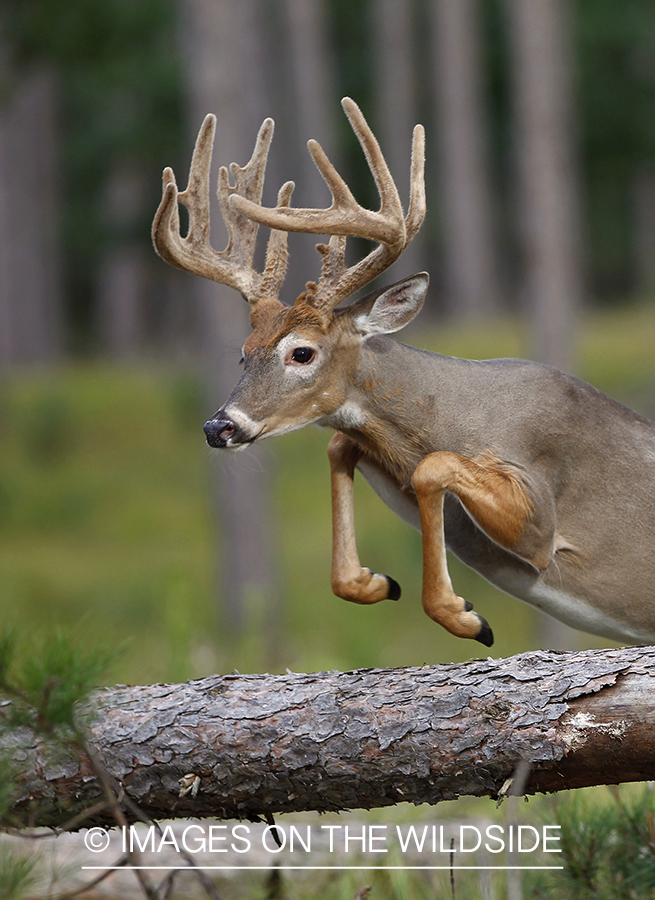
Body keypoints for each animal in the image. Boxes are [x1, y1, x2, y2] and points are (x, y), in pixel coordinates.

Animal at [151, 96, 655, 648]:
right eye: (243, 353)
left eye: (302, 353)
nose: (219, 426)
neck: (449, 413)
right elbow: (340, 447)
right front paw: (375, 582)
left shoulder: (542, 512)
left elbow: (431, 466)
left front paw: (463, 615)